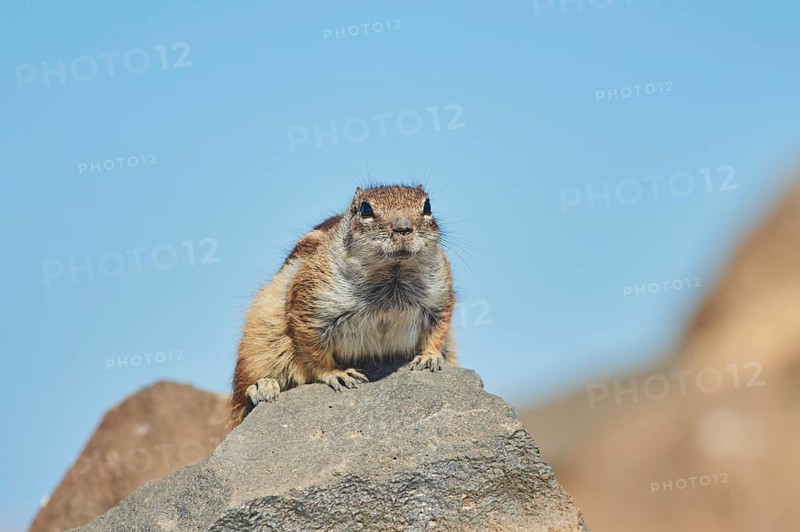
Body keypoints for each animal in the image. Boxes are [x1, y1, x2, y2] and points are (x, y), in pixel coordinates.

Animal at [230, 184, 457, 426]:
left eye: (428, 206)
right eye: (366, 209)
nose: (403, 228)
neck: (393, 273)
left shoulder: (440, 296)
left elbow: (439, 329)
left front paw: (429, 357)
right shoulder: (311, 305)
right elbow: (314, 349)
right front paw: (336, 373)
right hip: (258, 343)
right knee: (241, 400)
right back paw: (261, 388)